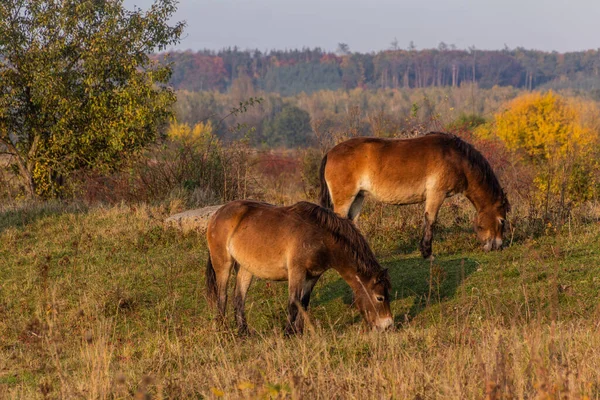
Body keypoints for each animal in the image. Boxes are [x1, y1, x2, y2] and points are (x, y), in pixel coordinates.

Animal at [206, 200, 394, 334]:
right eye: (380, 298)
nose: (387, 326)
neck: (321, 237)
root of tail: (217, 214)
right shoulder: (297, 271)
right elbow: (293, 302)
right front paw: (288, 333)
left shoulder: (312, 275)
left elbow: (303, 303)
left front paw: (299, 332)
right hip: (223, 264)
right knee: (222, 296)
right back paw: (223, 330)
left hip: (246, 269)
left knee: (239, 298)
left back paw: (243, 332)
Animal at [318, 133, 510, 260]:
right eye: (502, 221)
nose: (498, 245)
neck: (455, 158)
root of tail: (330, 153)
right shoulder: (436, 194)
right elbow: (430, 220)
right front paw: (427, 253)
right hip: (345, 199)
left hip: (358, 197)